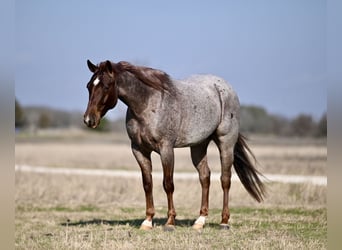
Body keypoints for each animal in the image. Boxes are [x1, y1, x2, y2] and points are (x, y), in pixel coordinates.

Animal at [83, 58, 264, 230]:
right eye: (88, 86)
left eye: (106, 86)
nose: (89, 119)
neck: (147, 103)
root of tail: (224, 86)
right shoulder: (139, 150)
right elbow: (147, 184)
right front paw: (148, 221)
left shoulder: (166, 149)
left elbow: (168, 184)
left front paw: (170, 222)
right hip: (198, 146)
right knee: (205, 177)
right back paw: (200, 221)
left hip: (226, 142)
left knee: (225, 179)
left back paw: (224, 221)